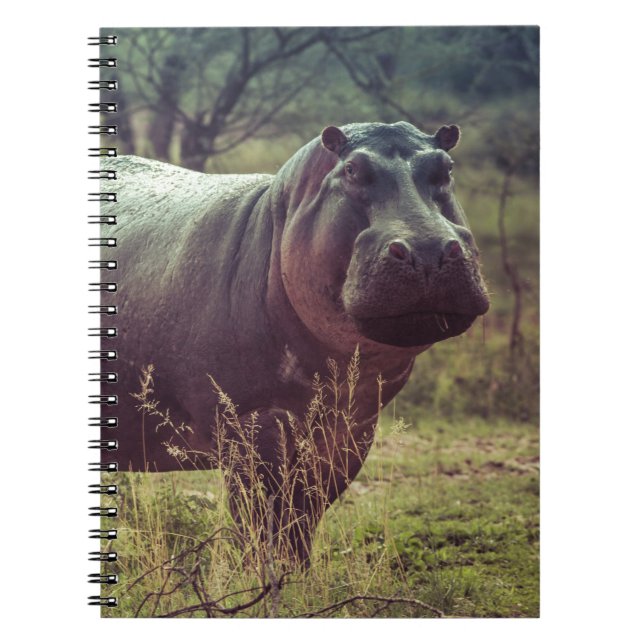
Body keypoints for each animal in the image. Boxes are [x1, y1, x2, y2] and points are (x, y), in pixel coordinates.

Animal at [100, 121, 489, 563]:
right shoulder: (249, 426)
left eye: (446, 168)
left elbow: (302, 520)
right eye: (352, 169)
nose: (427, 249)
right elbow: (261, 521)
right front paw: (266, 576)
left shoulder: (351, 430)